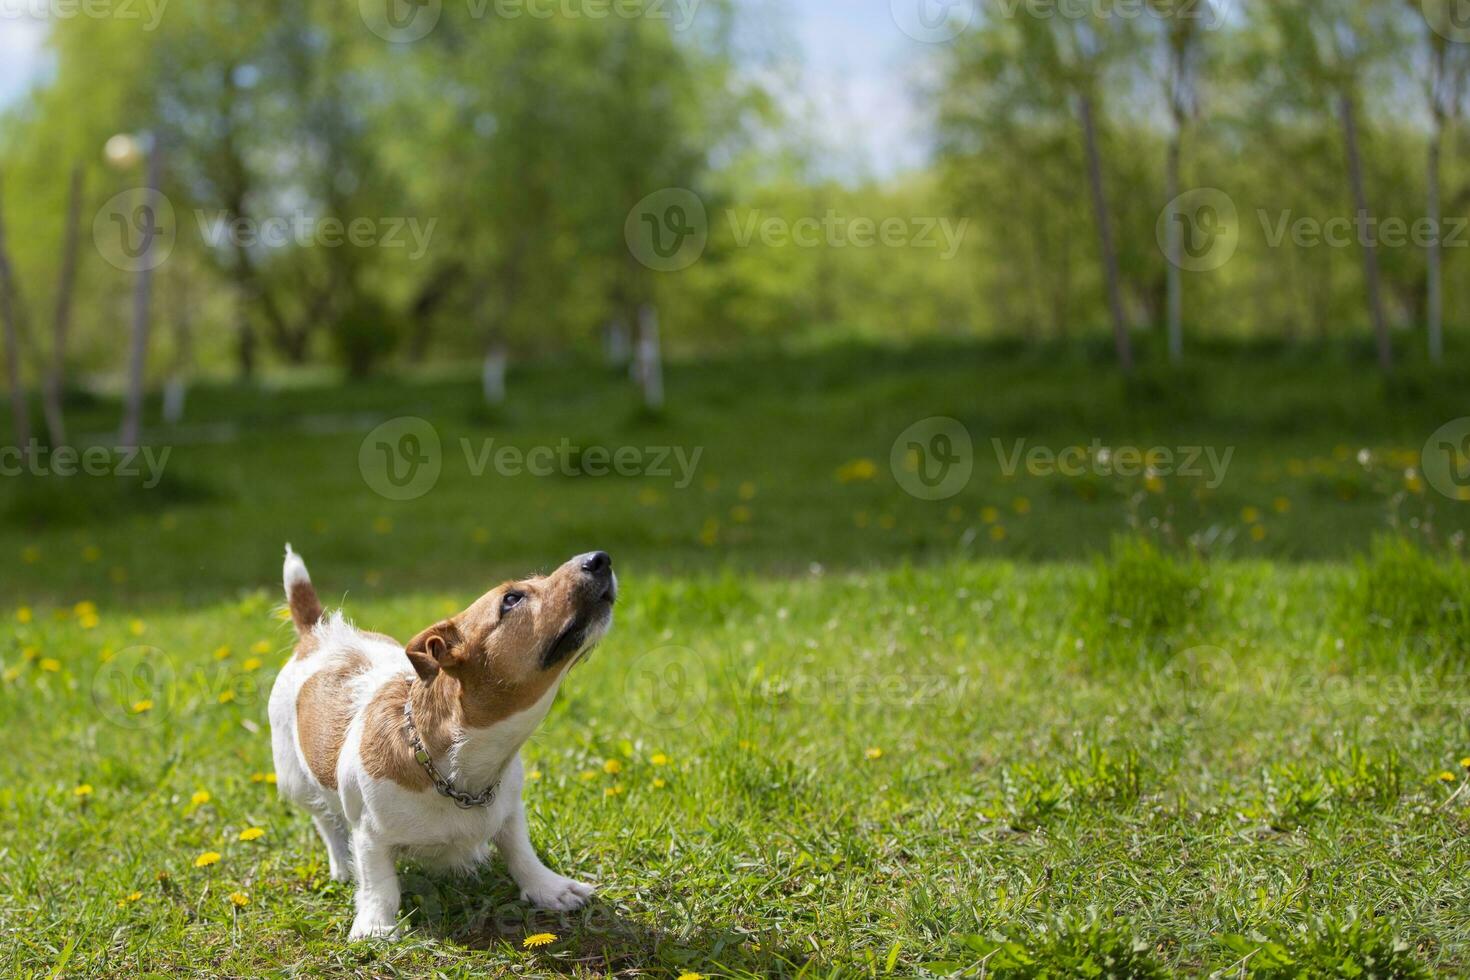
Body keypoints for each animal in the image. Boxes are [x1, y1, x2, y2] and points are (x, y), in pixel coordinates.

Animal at [266, 549, 614, 940]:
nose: (599, 558)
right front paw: (375, 926)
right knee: (325, 820)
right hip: (294, 780)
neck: (459, 769)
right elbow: (378, 882)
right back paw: (342, 863)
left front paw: (549, 887)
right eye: (511, 599)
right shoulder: (370, 835)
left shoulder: (510, 809)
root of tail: (319, 633)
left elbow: (519, 849)